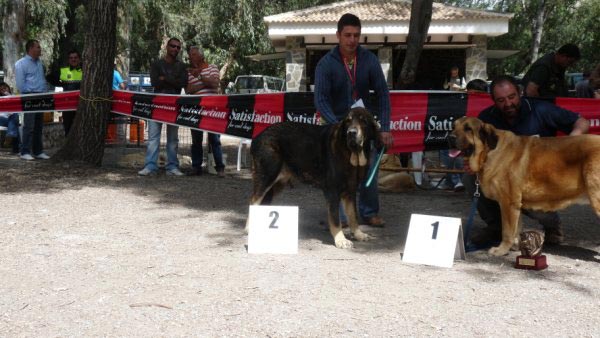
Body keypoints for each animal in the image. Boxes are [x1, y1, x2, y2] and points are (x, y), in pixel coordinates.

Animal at [247, 107, 380, 248]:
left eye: (363, 121)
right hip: (267, 177)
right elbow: (335, 218)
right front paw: (340, 239)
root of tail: (257, 137)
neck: (350, 151)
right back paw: (249, 228)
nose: (351, 132)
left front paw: (358, 234)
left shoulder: (351, 191)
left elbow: (353, 215)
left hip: (277, 184)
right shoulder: (333, 192)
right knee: (253, 201)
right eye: (348, 121)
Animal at [452, 117, 596, 256]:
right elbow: (516, 229)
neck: (488, 152)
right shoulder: (515, 205)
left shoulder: (508, 203)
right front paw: (515, 246)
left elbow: (507, 231)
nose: (450, 137)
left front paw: (501, 250)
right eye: (454, 126)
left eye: (468, 129)